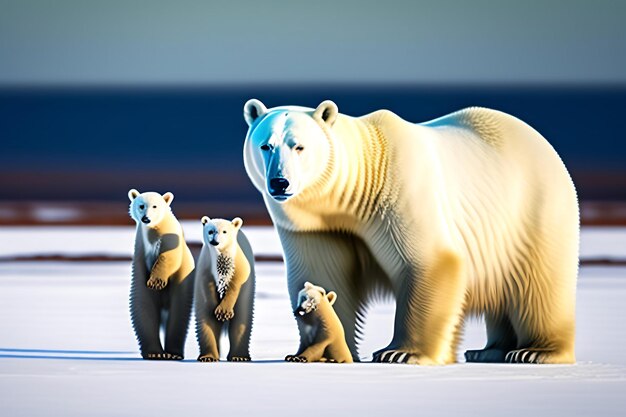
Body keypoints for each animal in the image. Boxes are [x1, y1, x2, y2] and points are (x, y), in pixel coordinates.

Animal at [127, 188, 194, 358]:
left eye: (155, 206)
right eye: (141, 205)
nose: (146, 219)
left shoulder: (171, 235)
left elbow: (169, 257)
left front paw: (156, 281)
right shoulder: (141, 244)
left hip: (181, 286)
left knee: (178, 315)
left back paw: (173, 353)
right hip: (140, 290)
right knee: (143, 310)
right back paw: (154, 352)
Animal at [194, 216, 255, 360]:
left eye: (224, 231)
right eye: (210, 231)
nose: (215, 241)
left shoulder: (239, 264)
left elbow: (237, 282)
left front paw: (224, 311)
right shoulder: (206, 265)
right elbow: (207, 284)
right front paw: (217, 310)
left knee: (242, 319)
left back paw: (239, 356)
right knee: (204, 321)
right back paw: (208, 356)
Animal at [241, 98, 576, 364]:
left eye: (299, 146)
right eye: (266, 145)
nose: (280, 182)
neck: (358, 185)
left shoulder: (400, 192)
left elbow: (430, 260)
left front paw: (399, 353)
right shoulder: (317, 226)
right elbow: (323, 274)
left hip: (533, 210)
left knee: (540, 283)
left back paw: (534, 351)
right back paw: (487, 350)